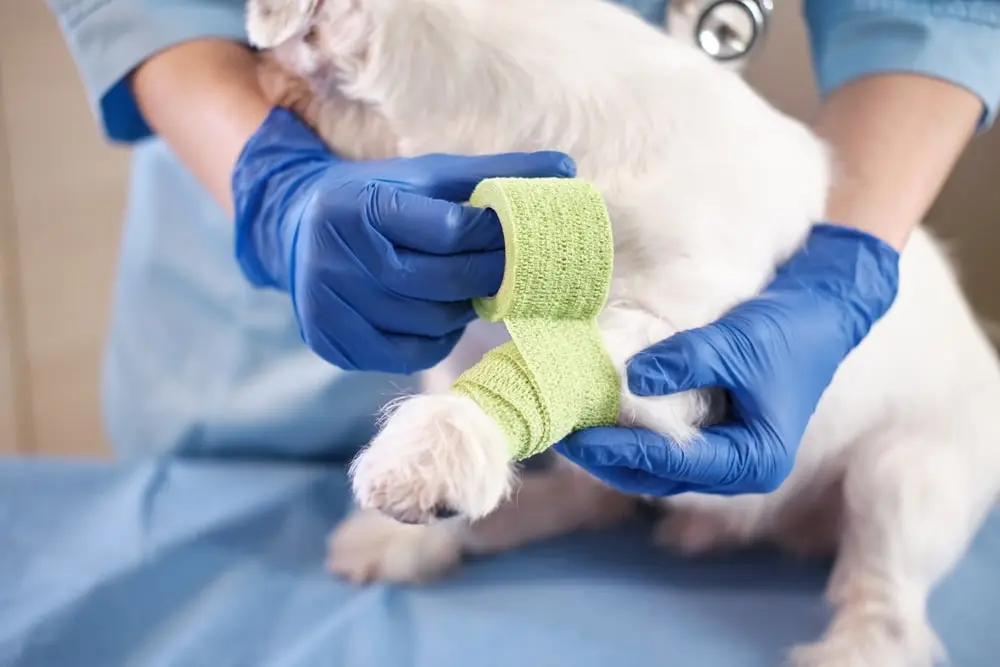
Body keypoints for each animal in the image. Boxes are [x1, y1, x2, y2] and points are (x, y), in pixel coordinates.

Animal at [248, 2, 1000, 664]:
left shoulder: (685, 338)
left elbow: (550, 364)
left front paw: (430, 457)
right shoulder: (463, 330)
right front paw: (419, 526)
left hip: (901, 478)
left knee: (887, 601)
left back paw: (851, 648)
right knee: (591, 496)